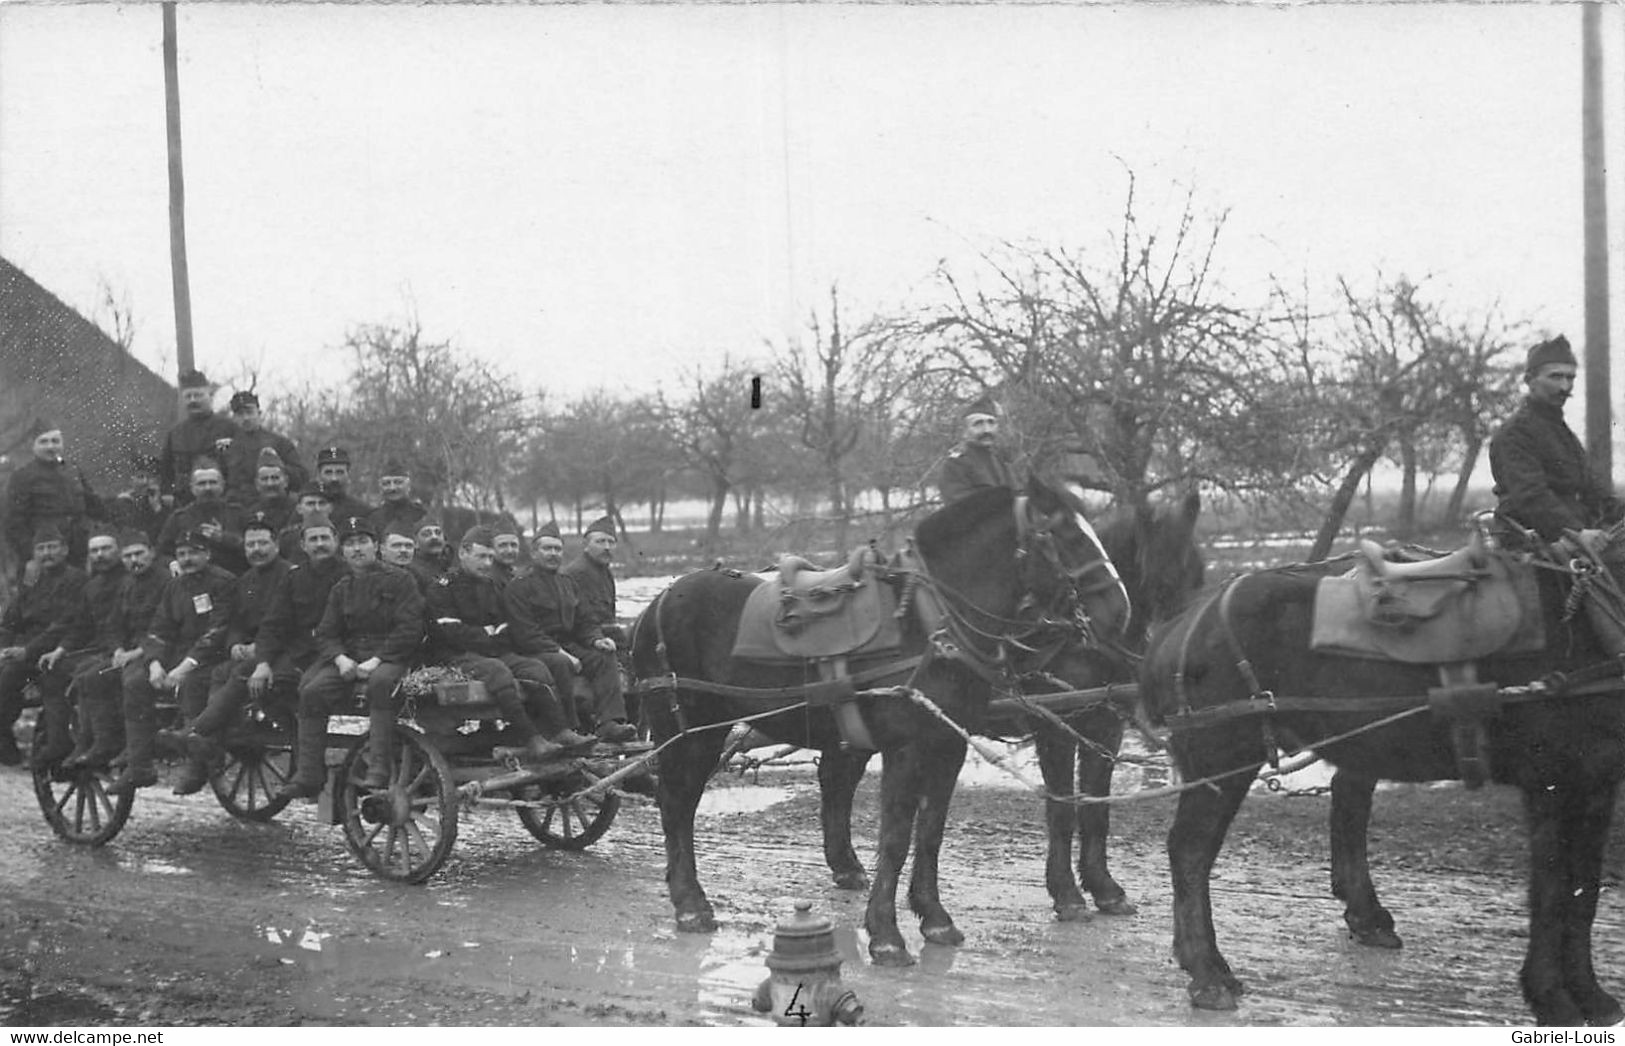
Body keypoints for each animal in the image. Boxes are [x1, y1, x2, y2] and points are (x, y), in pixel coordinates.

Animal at [630, 477, 1131, 961]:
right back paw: (690, 903)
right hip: (690, 733)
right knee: (678, 805)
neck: (928, 624)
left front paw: (934, 917)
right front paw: (886, 934)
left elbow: (930, 831)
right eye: (1065, 535)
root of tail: (657, 602)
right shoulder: (908, 749)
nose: (1119, 610)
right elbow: (895, 838)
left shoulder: (949, 745)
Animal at [1144, 552, 1625, 1026]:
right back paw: (1208, 972)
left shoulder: (1596, 781)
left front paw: (1591, 995)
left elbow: (1583, 892)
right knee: (1191, 851)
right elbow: (1552, 894)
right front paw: (1551, 998)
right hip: (1221, 759)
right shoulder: (1550, 780)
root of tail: (1187, 620)